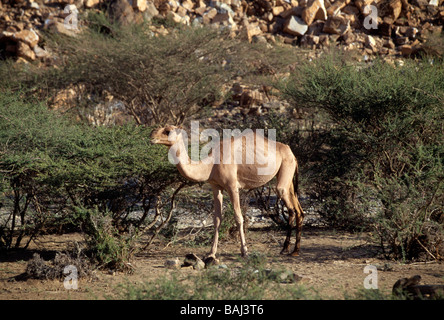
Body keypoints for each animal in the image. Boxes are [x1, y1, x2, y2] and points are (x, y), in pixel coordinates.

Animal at [151, 125, 304, 258]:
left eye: (168, 131)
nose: (152, 135)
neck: (211, 165)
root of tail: (292, 153)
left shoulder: (232, 186)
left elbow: (239, 217)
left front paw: (244, 251)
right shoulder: (215, 187)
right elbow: (217, 219)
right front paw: (211, 253)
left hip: (285, 169)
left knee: (291, 208)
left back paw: (292, 250)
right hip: (288, 177)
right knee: (298, 210)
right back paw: (289, 249)